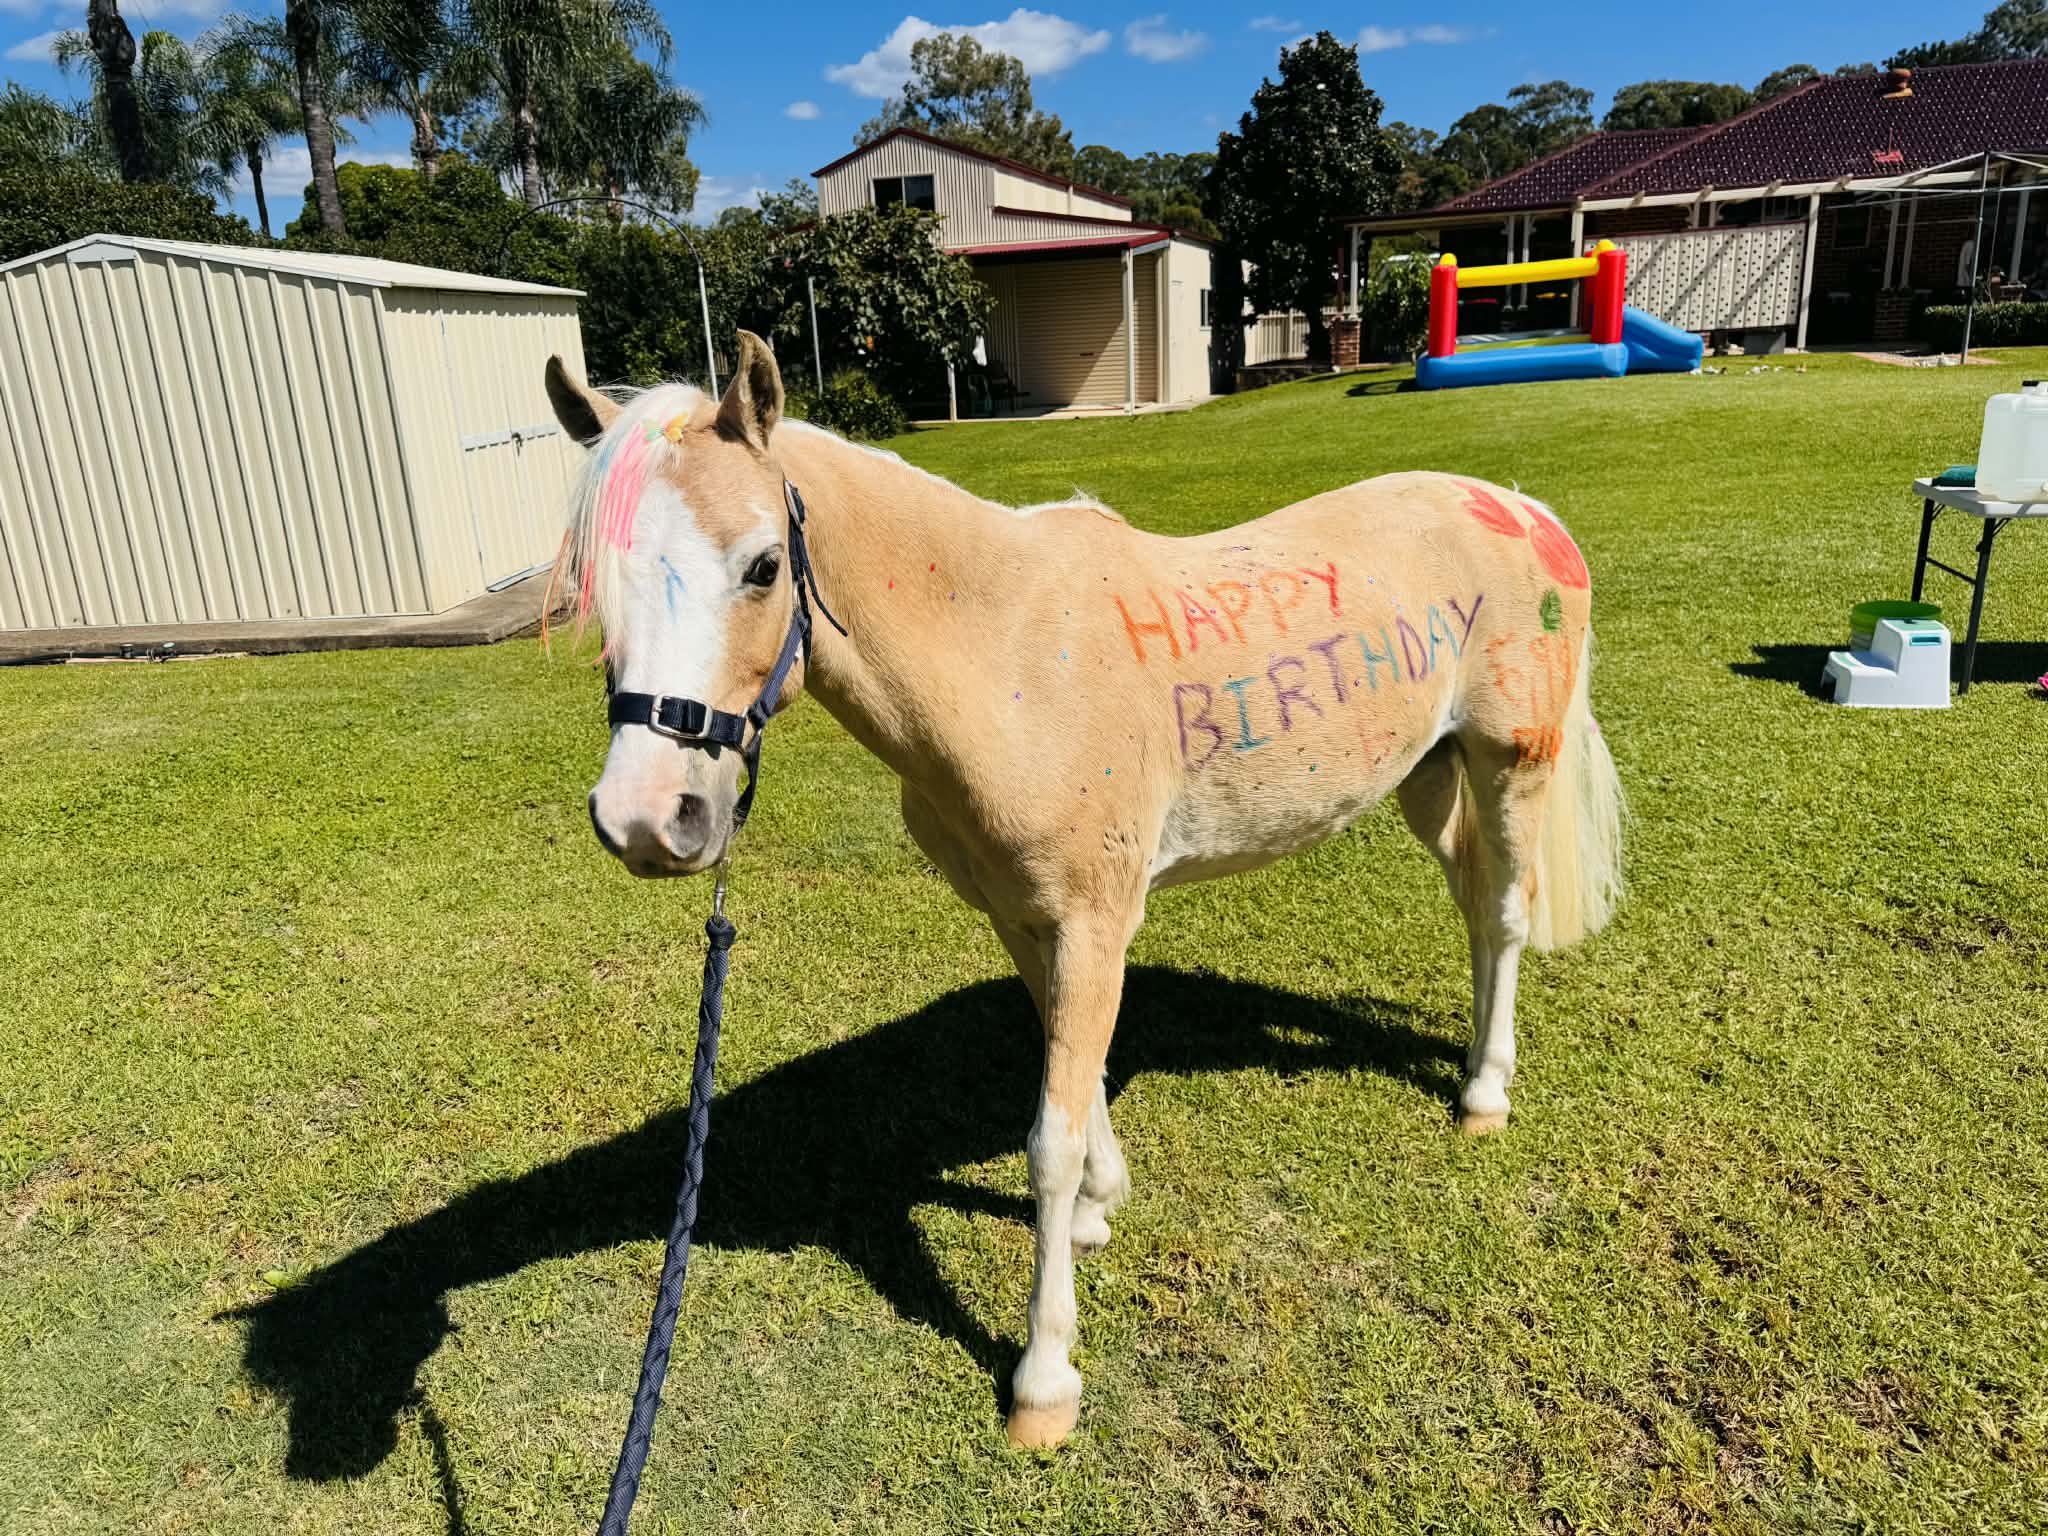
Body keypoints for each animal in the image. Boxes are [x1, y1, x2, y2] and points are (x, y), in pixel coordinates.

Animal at [542, 332, 1624, 1449]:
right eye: (593, 585)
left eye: (762, 567)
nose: (647, 817)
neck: (1013, 660)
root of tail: (1521, 510)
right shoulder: (1030, 921)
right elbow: (1080, 1072)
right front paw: (1104, 1204)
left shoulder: (1095, 920)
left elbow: (1047, 1142)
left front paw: (1044, 1377)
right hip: (1425, 773)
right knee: (1473, 904)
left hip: (1509, 762)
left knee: (1505, 913)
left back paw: (1483, 1092)